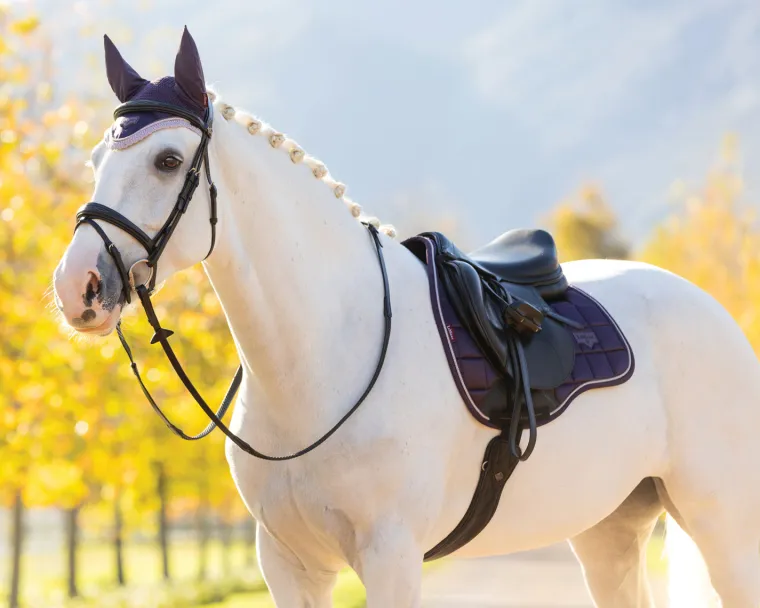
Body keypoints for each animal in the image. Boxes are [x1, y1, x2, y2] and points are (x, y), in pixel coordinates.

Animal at [52, 28, 759, 607]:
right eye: (95, 160)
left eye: (168, 160)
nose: (76, 285)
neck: (325, 354)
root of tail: (709, 308)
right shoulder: (288, 563)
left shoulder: (390, 557)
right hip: (608, 528)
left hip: (722, 526)